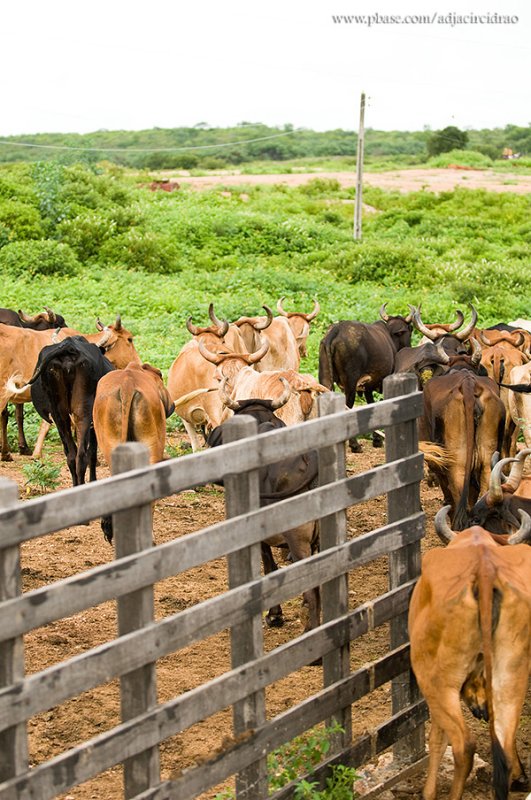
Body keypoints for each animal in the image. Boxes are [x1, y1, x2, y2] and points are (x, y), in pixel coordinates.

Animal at [11, 334, 113, 484]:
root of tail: (68, 348)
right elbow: (93, 452)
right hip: (83, 412)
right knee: (82, 454)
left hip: (60, 414)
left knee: (73, 455)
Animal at [318, 304, 414, 450]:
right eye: (410, 330)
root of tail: (336, 330)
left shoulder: (368, 386)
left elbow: (371, 405)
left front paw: (377, 439)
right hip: (350, 383)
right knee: (348, 406)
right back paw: (354, 444)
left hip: (326, 380)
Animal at [410, 506, 528, 800]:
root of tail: (484, 570)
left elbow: (437, 738)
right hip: (511, 679)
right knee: (504, 745)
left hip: (438, 683)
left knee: (464, 745)